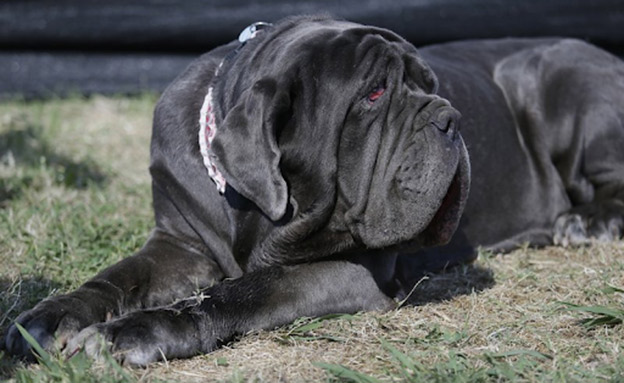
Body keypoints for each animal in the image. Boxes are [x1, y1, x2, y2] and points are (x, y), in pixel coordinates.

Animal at [4, 17, 624, 366]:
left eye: (431, 84)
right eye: (374, 95)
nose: (449, 117)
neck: (252, 204)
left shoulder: (350, 270)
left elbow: (241, 291)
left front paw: (130, 332)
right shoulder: (178, 245)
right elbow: (118, 277)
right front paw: (50, 316)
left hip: (566, 83)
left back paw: (587, 221)